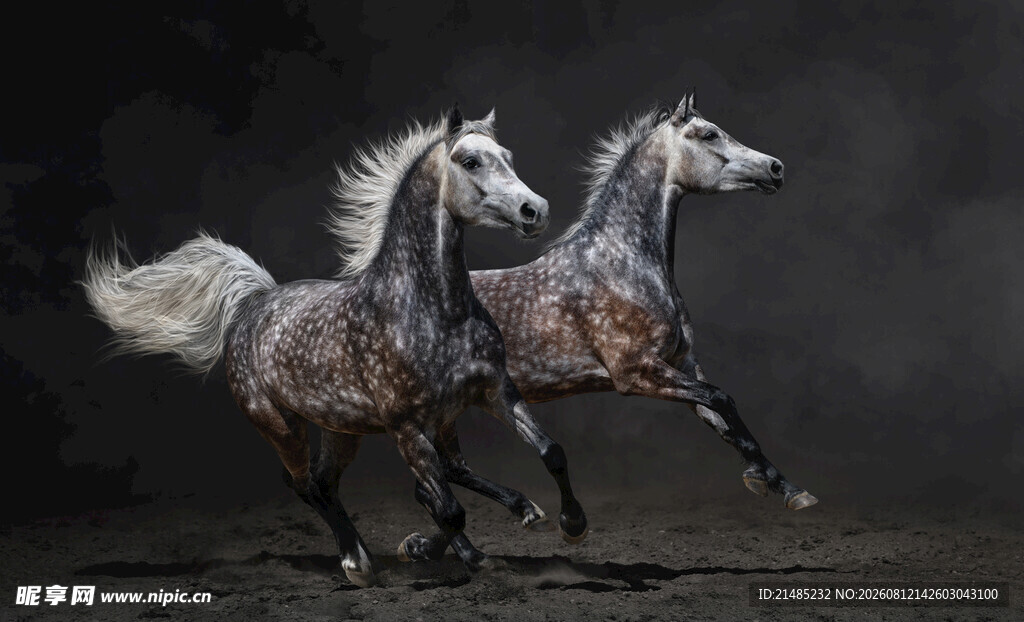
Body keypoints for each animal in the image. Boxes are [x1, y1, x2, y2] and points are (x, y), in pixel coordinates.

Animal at [83, 106, 588, 588]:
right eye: (470, 161)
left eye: (508, 157)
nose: (534, 210)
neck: (433, 311)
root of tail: (255, 302)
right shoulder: (405, 427)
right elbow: (448, 509)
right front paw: (417, 549)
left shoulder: (494, 392)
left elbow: (550, 452)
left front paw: (568, 523)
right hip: (281, 425)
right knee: (307, 485)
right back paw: (357, 562)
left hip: (345, 428)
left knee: (347, 481)